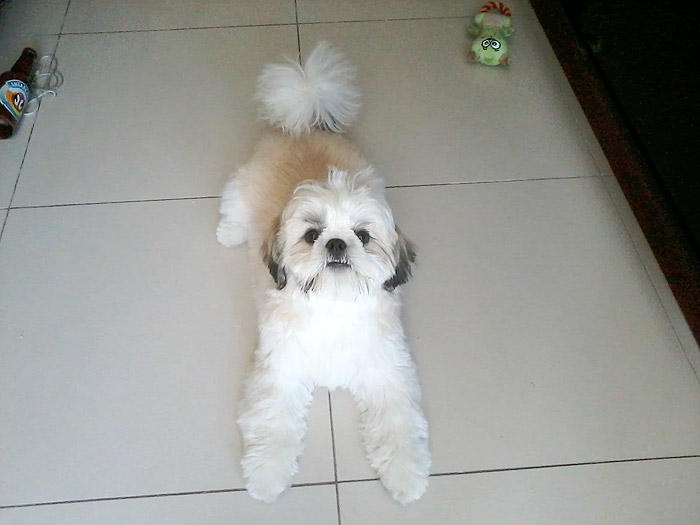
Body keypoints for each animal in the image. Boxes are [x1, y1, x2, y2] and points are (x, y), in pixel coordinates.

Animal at [217, 42, 430, 504]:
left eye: (363, 236)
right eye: (312, 234)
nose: (335, 244)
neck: (334, 306)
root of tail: (304, 121)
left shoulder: (386, 370)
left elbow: (399, 425)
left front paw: (406, 477)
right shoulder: (279, 371)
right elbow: (272, 424)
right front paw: (266, 478)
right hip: (242, 186)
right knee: (234, 206)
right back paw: (230, 232)